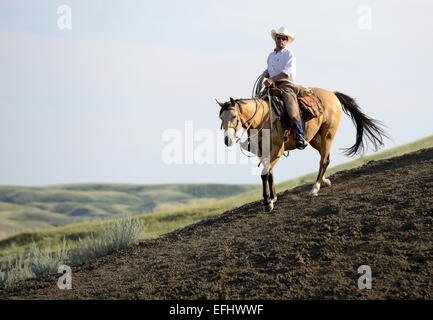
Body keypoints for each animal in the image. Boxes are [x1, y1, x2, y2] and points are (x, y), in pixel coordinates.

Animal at [218, 87, 386, 212]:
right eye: (221, 118)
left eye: (234, 116)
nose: (227, 140)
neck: (263, 119)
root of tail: (332, 94)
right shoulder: (262, 152)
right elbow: (269, 173)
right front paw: (273, 197)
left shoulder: (277, 150)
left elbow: (264, 173)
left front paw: (267, 202)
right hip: (314, 139)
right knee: (326, 158)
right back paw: (324, 181)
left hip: (328, 134)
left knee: (323, 160)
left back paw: (315, 188)